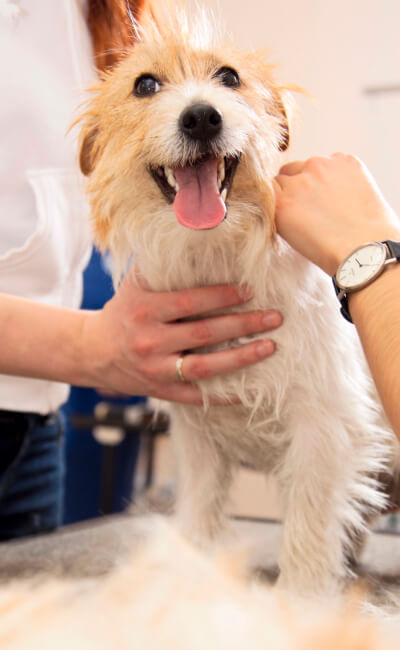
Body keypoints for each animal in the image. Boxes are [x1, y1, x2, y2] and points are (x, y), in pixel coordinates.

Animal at [77, 0, 396, 596]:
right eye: (145, 84)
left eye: (228, 77)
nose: (202, 117)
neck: (215, 254)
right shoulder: (196, 434)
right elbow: (202, 509)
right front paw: (195, 576)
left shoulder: (323, 427)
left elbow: (309, 524)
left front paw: (300, 599)